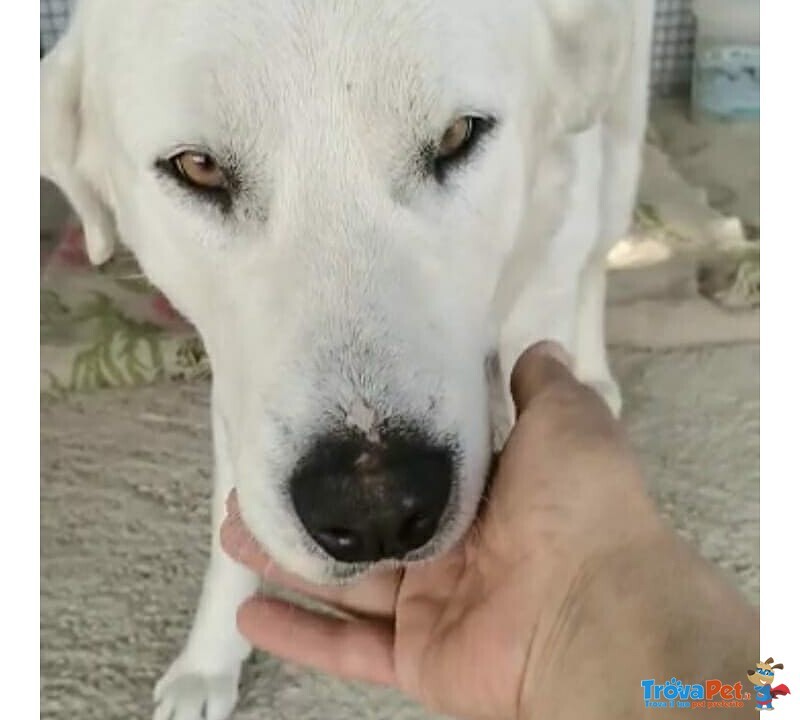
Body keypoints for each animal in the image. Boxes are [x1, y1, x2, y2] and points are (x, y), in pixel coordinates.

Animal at [39, 1, 656, 716]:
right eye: (197, 167)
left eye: (457, 135)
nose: (376, 507)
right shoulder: (240, 389)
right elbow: (231, 524)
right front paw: (208, 661)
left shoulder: (552, 258)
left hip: (618, 138)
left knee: (600, 257)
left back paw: (594, 375)